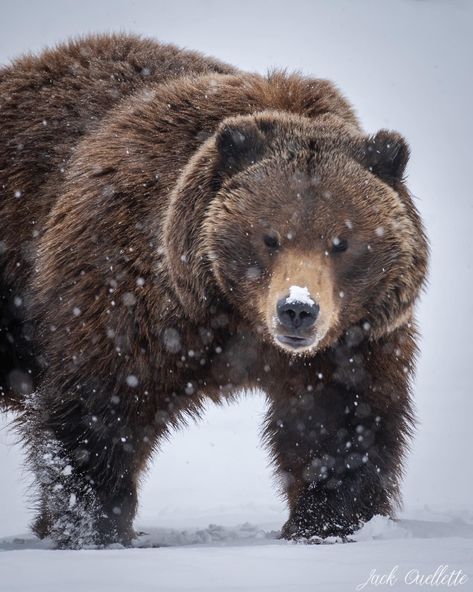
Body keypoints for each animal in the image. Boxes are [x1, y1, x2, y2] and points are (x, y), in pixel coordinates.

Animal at [0, 34, 428, 548]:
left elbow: (341, 422)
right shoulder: (127, 291)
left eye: (341, 242)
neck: (232, 318)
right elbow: (98, 411)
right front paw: (95, 529)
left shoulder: (352, 337)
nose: (297, 309)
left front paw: (326, 523)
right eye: (269, 236)